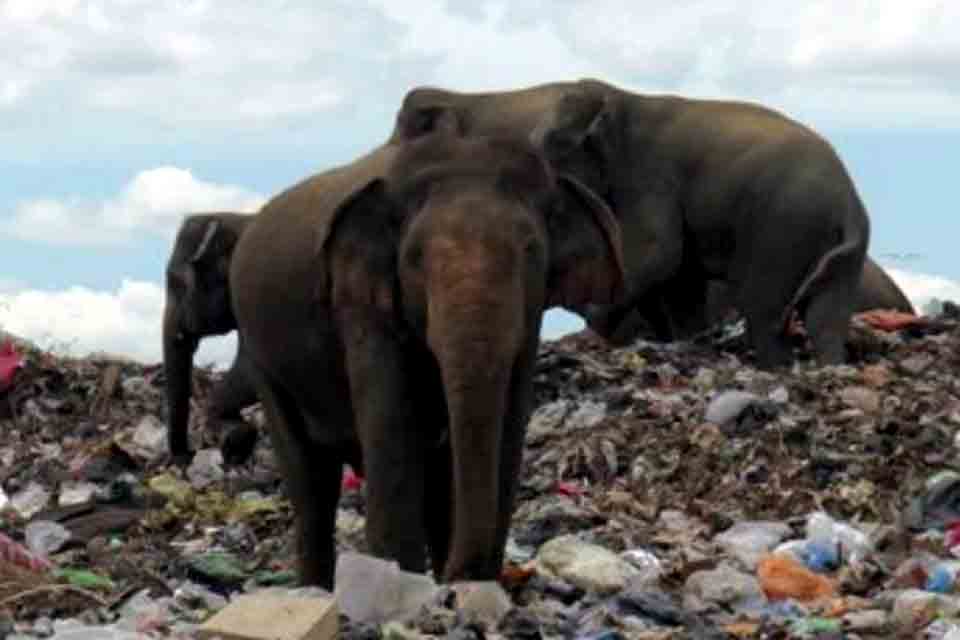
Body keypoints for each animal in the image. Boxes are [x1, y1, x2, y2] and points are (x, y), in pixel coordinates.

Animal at [229, 126, 628, 592]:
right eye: (415, 257)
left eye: (531, 250)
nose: (458, 578)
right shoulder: (360, 304)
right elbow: (393, 427)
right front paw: (399, 582)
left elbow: (509, 423)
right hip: (262, 355)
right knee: (311, 479)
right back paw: (316, 590)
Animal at [394, 79, 872, 370]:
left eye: (551, 145)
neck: (622, 98)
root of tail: (849, 202)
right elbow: (679, 279)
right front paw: (685, 343)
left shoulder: (650, 174)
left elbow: (662, 253)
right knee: (825, 314)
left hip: (782, 227)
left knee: (765, 311)